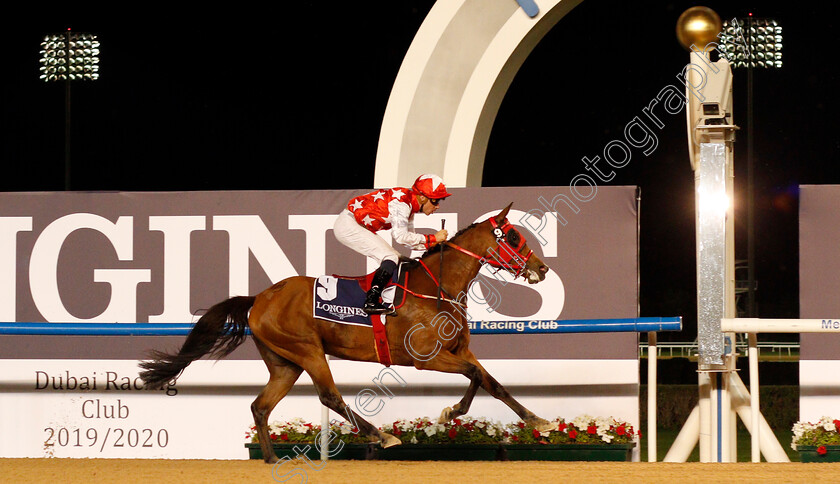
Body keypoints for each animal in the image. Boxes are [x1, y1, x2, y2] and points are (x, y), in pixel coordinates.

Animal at [139, 202, 552, 464]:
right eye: (513, 237)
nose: (542, 268)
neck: (438, 287)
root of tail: (260, 297)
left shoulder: (459, 349)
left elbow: (490, 381)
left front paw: (537, 421)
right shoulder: (427, 357)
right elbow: (476, 376)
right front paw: (453, 411)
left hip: (285, 363)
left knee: (261, 405)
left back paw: (270, 458)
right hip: (307, 351)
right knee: (329, 396)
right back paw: (381, 436)